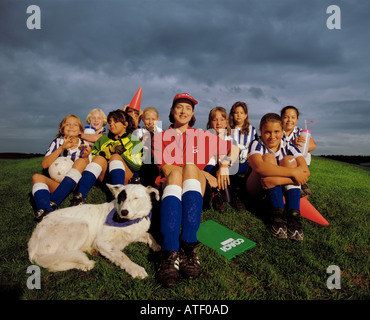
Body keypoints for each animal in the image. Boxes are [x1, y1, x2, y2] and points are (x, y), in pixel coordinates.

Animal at [28, 184, 161, 278]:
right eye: (122, 198)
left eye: (135, 198)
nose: (124, 212)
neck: (129, 221)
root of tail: (31, 247)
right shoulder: (102, 242)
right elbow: (122, 256)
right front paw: (135, 268)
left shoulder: (134, 234)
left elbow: (149, 235)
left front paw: (156, 246)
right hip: (81, 225)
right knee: (63, 256)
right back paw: (83, 264)